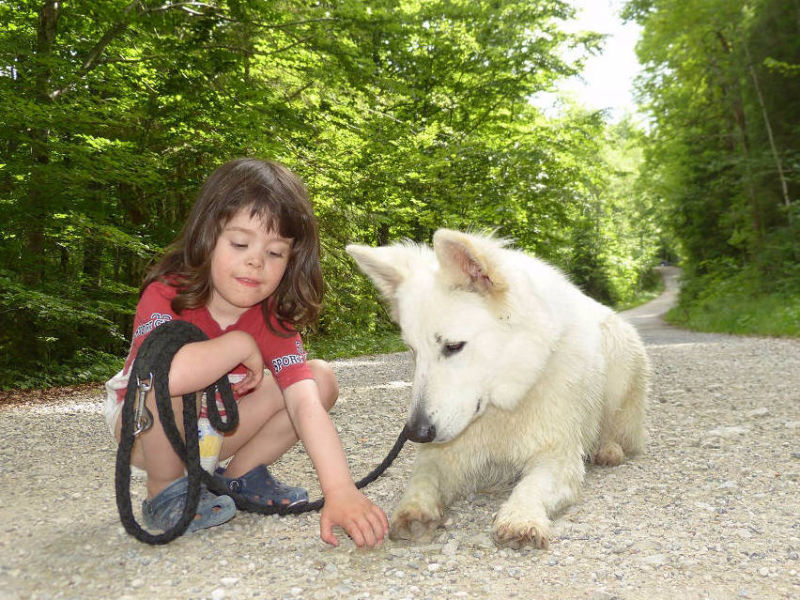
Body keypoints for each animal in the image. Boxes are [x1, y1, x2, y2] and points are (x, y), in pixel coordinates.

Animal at [346, 230, 648, 548]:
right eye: (413, 351)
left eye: (453, 346)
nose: (416, 433)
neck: (505, 403)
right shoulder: (444, 451)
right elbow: (424, 476)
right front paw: (413, 509)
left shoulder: (557, 455)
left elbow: (533, 485)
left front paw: (521, 516)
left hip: (617, 364)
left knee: (616, 428)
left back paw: (609, 449)